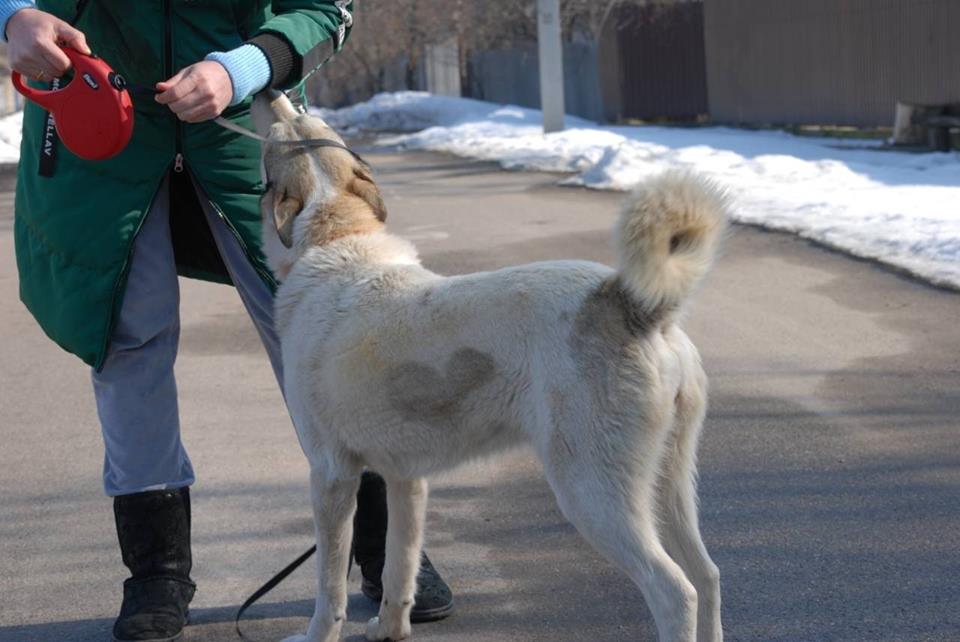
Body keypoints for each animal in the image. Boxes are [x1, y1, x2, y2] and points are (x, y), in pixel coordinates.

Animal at [255, 91, 728, 642]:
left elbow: (328, 586)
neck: (337, 238)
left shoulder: (331, 476)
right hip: (672, 485)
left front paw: (317, 636)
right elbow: (399, 567)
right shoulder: (405, 480)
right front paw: (389, 629)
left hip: (593, 493)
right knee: (707, 574)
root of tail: (627, 301)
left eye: (281, 131)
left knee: (675, 590)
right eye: (303, 122)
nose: (270, 93)